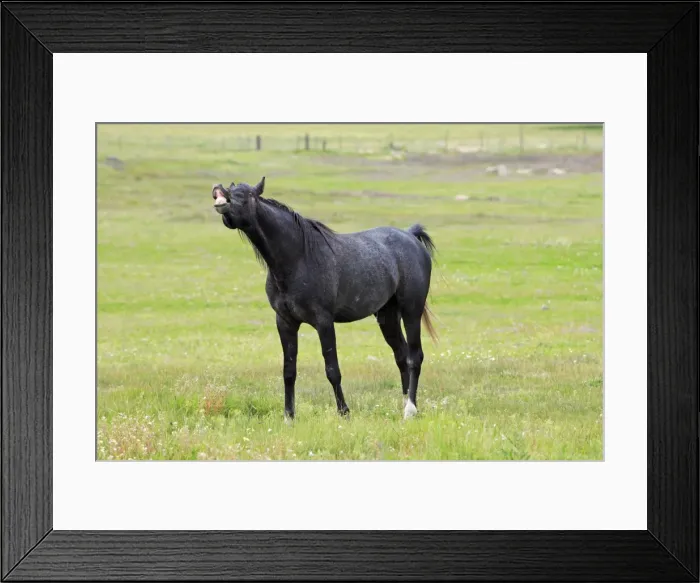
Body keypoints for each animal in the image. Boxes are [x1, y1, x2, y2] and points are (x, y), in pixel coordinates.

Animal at [211, 177, 438, 420]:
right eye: (232, 189)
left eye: (249, 195)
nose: (219, 192)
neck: (298, 258)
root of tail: (410, 235)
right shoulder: (285, 322)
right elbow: (289, 371)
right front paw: (289, 416)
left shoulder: (324, 322)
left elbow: (332, 370)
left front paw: (344, 412)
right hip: (387, 315)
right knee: (401, 355)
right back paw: (404, 404)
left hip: (411, 311)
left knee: (415, 356)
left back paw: (410, 409)